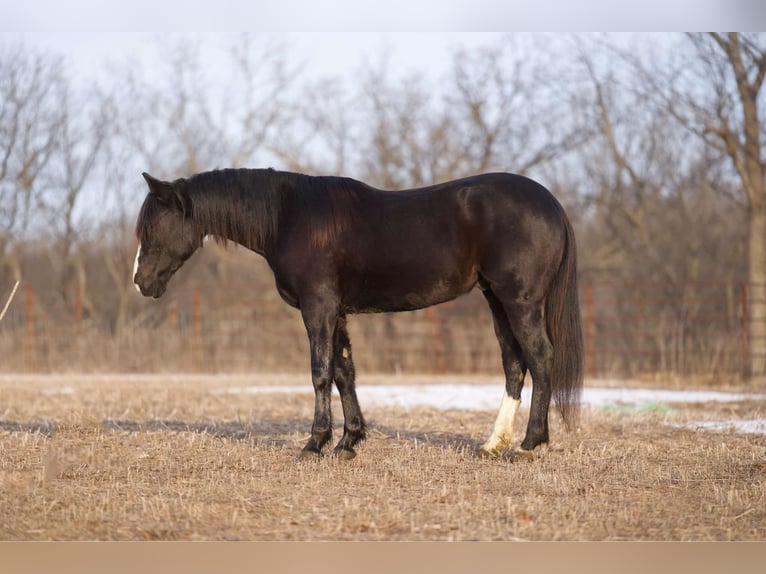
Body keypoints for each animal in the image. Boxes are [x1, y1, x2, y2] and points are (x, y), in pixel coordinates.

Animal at [135, 169, 584, 462]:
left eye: (153, 230)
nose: (140, 283)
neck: (290, 216)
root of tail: (551, 203)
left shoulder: (318, 307)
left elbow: (320, 373)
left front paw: (314, 443)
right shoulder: (337, 313)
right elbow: (344, 372)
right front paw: (348, 442)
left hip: (520, 300)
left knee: (540, 358)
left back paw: (530, 443)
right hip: (496, 300)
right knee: (514, 363)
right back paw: (493, 443)